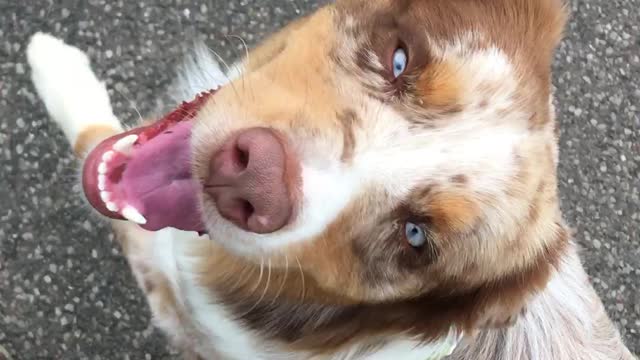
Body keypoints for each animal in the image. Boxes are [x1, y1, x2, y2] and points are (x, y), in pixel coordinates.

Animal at [26, 1, 636, 358]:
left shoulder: (187, 313)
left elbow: (118, 199)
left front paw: (53, 69)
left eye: (414, 237)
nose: (249, 181)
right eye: (399, 60)